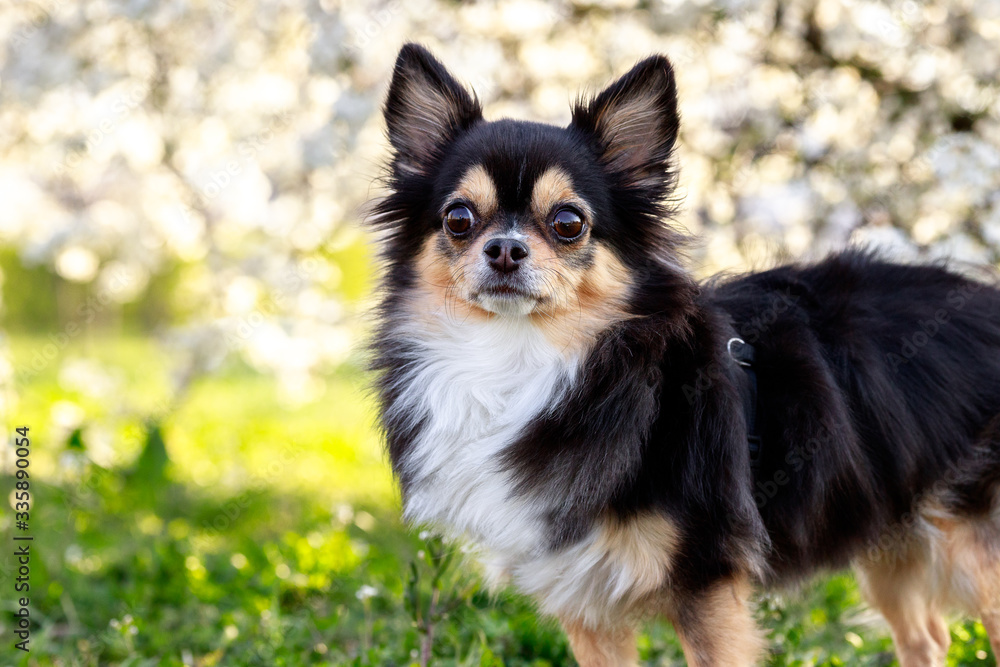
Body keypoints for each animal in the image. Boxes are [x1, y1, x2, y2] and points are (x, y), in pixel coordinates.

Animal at [368, 44, 1000, 664]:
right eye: (459, 218)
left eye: (568, 223)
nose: (504, 249)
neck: (524, 359)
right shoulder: (582, 597)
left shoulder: (708, 588)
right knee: (925, 638)